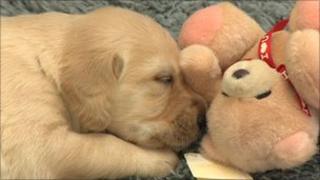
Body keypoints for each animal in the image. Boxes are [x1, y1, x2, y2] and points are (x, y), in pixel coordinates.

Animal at [0, 6, 204, 179]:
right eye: (165, 79)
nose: (203, 119)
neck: (44, 67)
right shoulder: (43, 146)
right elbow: (108, 146)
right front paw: (159, 158)